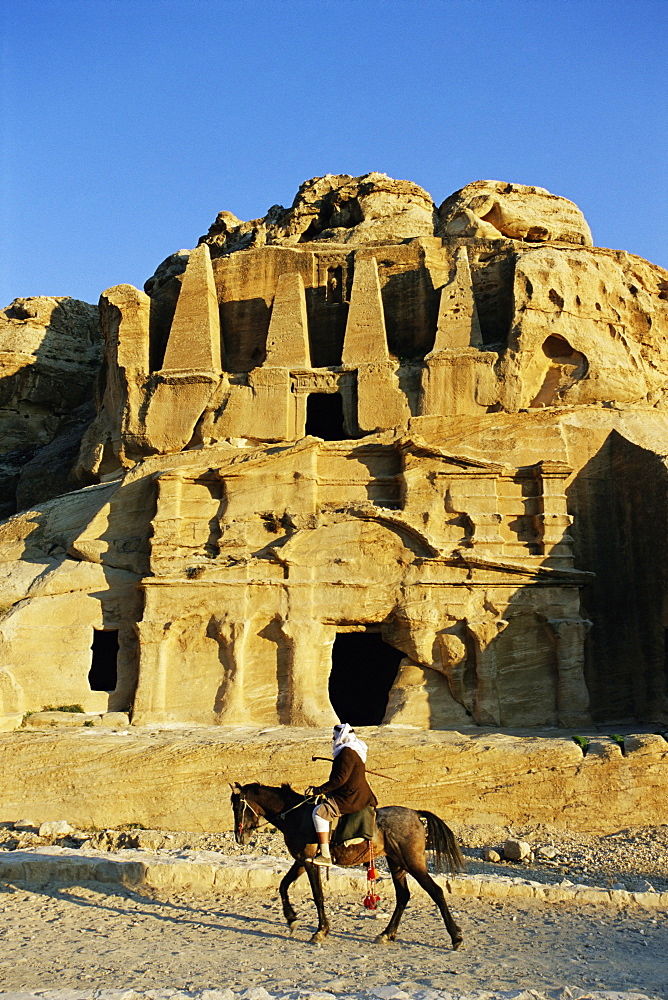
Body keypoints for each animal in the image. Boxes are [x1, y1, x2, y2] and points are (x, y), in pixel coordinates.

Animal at [230, 780, 464, 944]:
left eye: (237, 807)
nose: (239, 837)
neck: (296, 816)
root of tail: (415, 813)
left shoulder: (310, 862)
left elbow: (317, 895)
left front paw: (320, 930)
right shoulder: (301, 861)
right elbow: (283, 885)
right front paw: (292, 919)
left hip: (412, 861)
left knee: (436, 891)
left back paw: (456, 937)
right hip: (396, 863)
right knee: (403, 896)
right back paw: (387, 934)